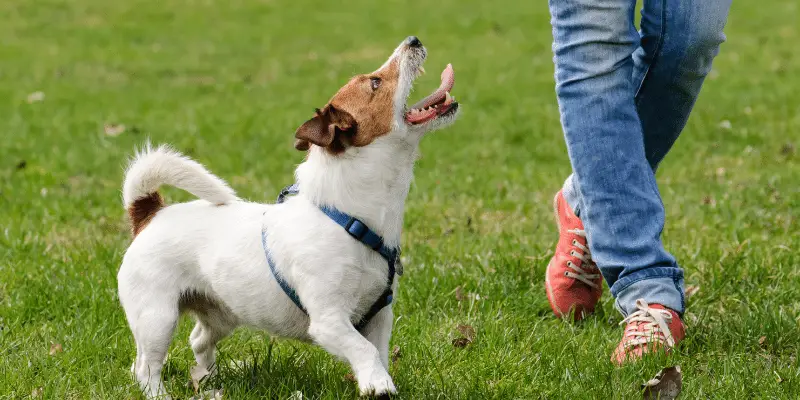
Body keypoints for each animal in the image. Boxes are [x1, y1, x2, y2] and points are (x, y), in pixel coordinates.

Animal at [115, 36, 460, 398]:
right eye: (375, 82)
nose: (413, 40)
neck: (349, 218)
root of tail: (150, 213)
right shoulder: (328, 321)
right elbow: (363, 349)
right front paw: (378, 383)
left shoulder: (379, 317)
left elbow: (377, 352)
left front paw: (375, 380)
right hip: (156, 317)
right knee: (145, 367)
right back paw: (160, 392)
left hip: (221, 313)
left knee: (197, 341)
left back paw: (208, 380)